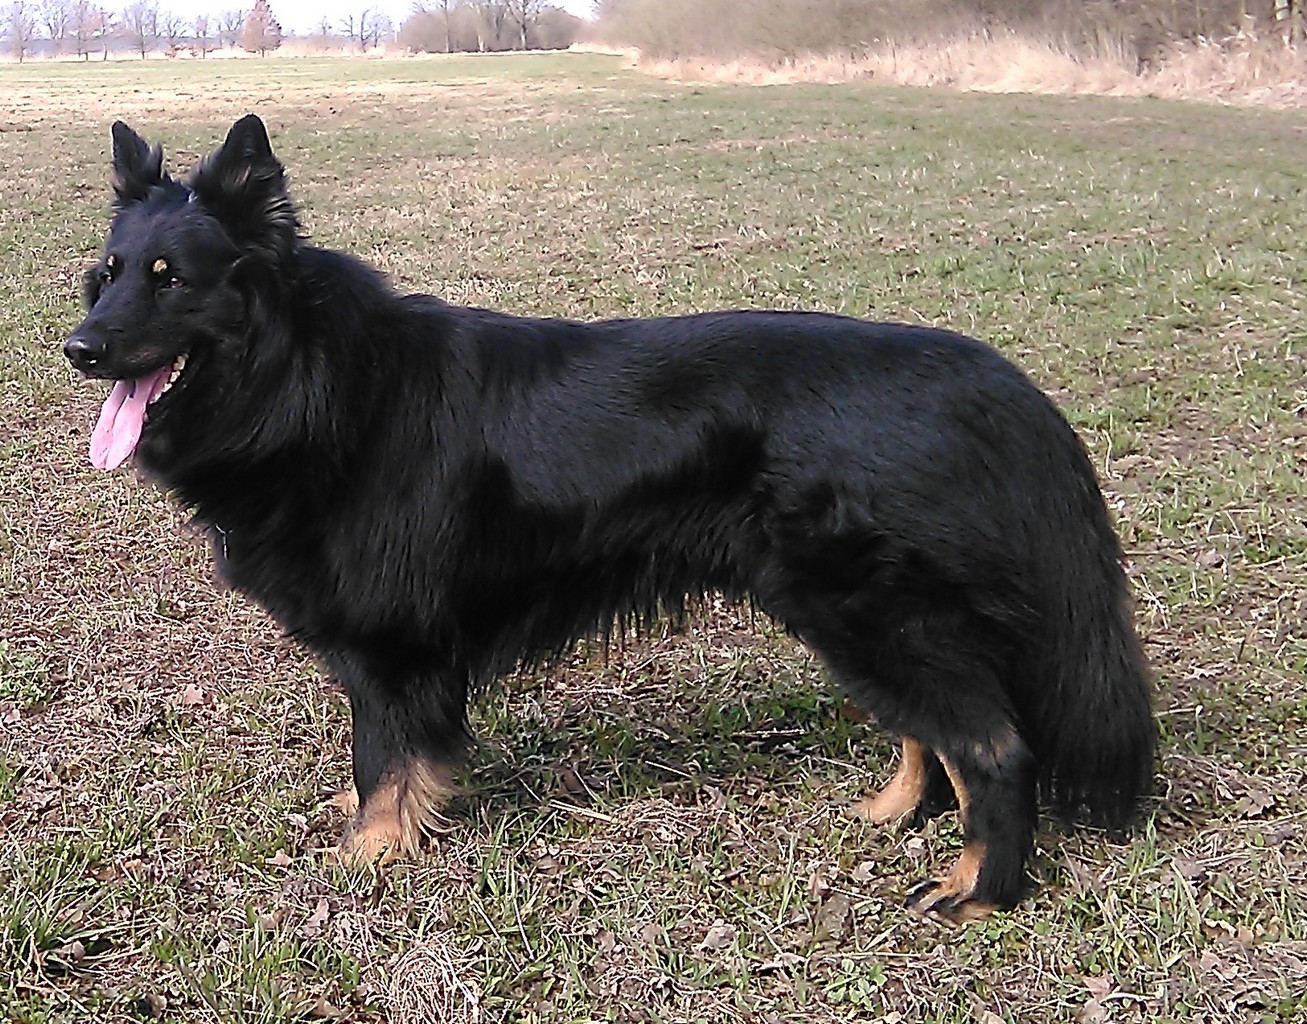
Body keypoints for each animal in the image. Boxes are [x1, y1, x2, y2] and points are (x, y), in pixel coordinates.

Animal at [64, 115, 1154, 922]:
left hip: (868, 610)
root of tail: (993, 380)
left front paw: (366, 853)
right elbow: (390, 753)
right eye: (108, 272)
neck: (311, 382)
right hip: (865, 619)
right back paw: (894, 809)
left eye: (171, 279)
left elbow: (384, 755)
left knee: (993, 746)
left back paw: (980, 889)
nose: (78, 349)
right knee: (936, 728)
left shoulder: (390, 645)